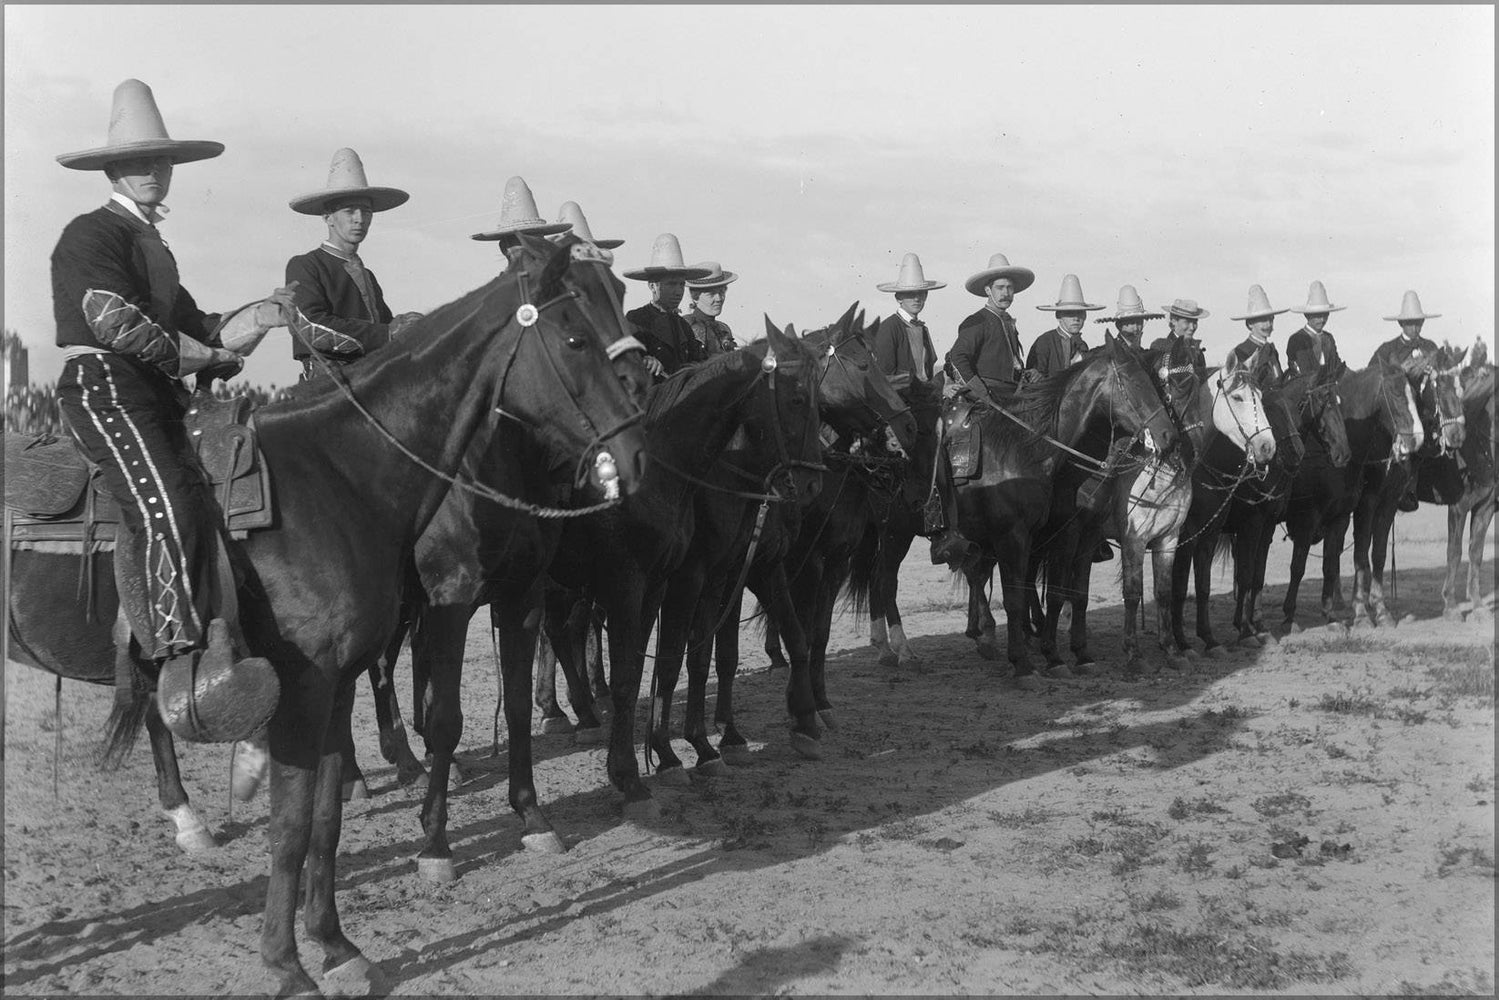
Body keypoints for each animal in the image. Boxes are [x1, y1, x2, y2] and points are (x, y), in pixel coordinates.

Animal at [7, 232, 650, 995]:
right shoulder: (317, 683)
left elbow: (325, 821)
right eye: (577, 335)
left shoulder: (345, 680)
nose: (635, 457)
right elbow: (291, 827)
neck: (338, 476)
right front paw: (287, 964)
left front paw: (336, 945)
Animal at [941, 335, 1175, 680]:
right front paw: (1032, 660)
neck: (1026, 448)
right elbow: (1030, 596)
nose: (1168, 435)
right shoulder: (1027, 535)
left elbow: (1073, 594)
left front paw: (1073, 653)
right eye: (1134, 382)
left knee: (978, 574)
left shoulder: (1077, 535)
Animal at [1355, 344, 1469, 626]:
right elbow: (1361, 553)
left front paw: (1380, 609)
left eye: (1461, 386)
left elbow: (1378, 553)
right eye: (1439, 387)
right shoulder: (1366, 502)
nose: (1457, 436)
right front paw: (1361, 612)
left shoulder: (1388, 502)